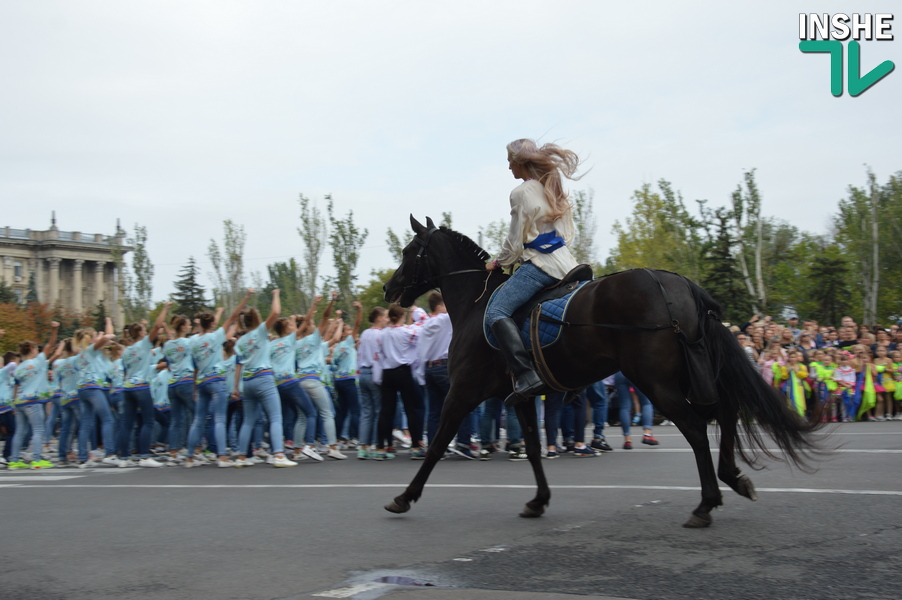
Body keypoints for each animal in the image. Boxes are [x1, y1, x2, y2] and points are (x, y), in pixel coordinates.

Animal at [382, 218, 820, 528]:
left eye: (408, 250)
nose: (388, 289)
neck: (476, 307)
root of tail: (677, 284)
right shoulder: (520, 397)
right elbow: (534, 448)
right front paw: (538, 500)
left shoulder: (462, 392)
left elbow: (437, 444)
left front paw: (404, 497)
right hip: (687, 375)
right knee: (726, 413)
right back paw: (732, 477)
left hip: (657, 381)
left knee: (698, 428)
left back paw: (706, 503)